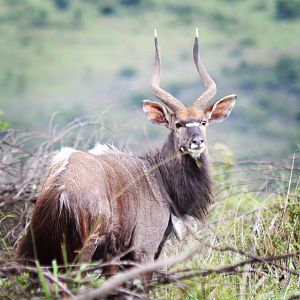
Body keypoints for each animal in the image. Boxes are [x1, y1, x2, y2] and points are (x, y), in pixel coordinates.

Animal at [16, 29, 237, 276]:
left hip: (34, 251)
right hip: (83, 253)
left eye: (204, 122)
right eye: (178, 124)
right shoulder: (143, 251)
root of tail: (60, 191)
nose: (197, 142)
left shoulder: (114, 257)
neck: (159, 178)